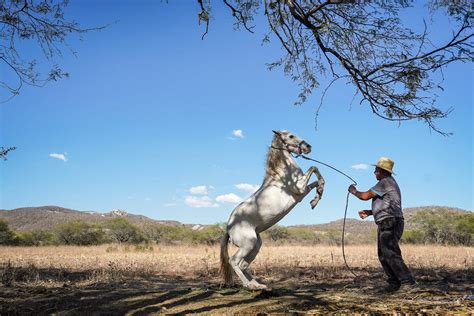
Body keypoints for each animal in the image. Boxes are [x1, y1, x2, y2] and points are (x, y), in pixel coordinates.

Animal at [219, 129, 324, 288]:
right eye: (290, 136)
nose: (308, 147)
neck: (281, 174)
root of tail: (229, 228)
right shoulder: (299, 189)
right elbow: (314, 168)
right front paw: (316, 199)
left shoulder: (302, 191)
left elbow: (317, 180)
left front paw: (315, 200)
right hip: (248, 244)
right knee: (234, 261)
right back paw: (249, 285)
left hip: (256, 245)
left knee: (243, 265)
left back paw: (258, 285)